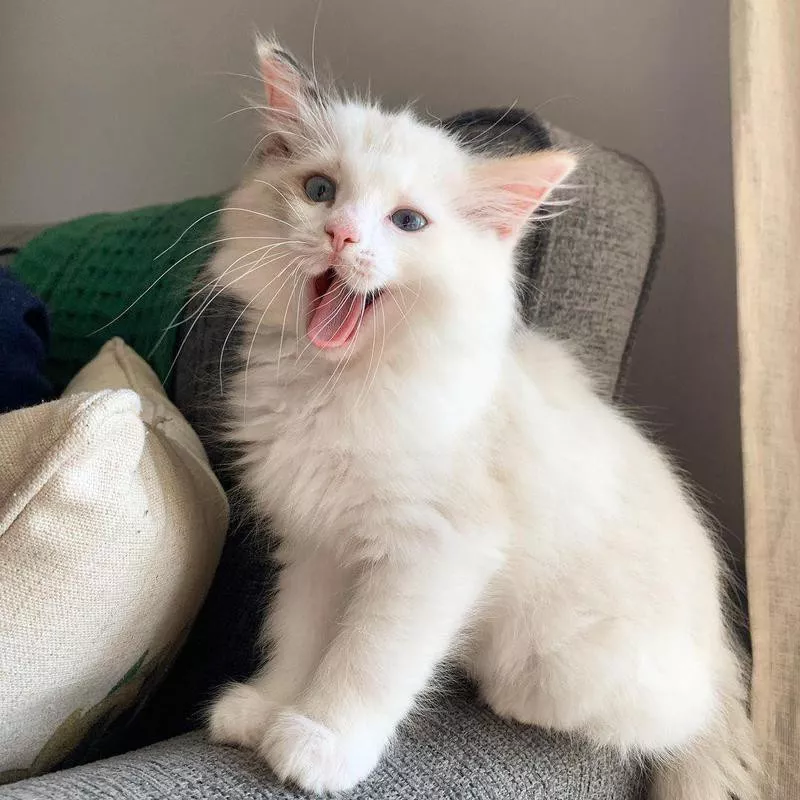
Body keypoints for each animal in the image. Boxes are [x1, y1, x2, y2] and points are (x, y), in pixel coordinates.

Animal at [205, 37, 756, 800]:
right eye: (319, 191)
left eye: (408, 222)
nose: (341, 235)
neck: (336, 384)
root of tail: (727, 657)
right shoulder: (319, 542)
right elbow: (300, 632)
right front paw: (269, 708)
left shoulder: (434, 549)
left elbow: (366, 657)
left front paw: (322, 743)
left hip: (565, 661)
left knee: (659, 723)